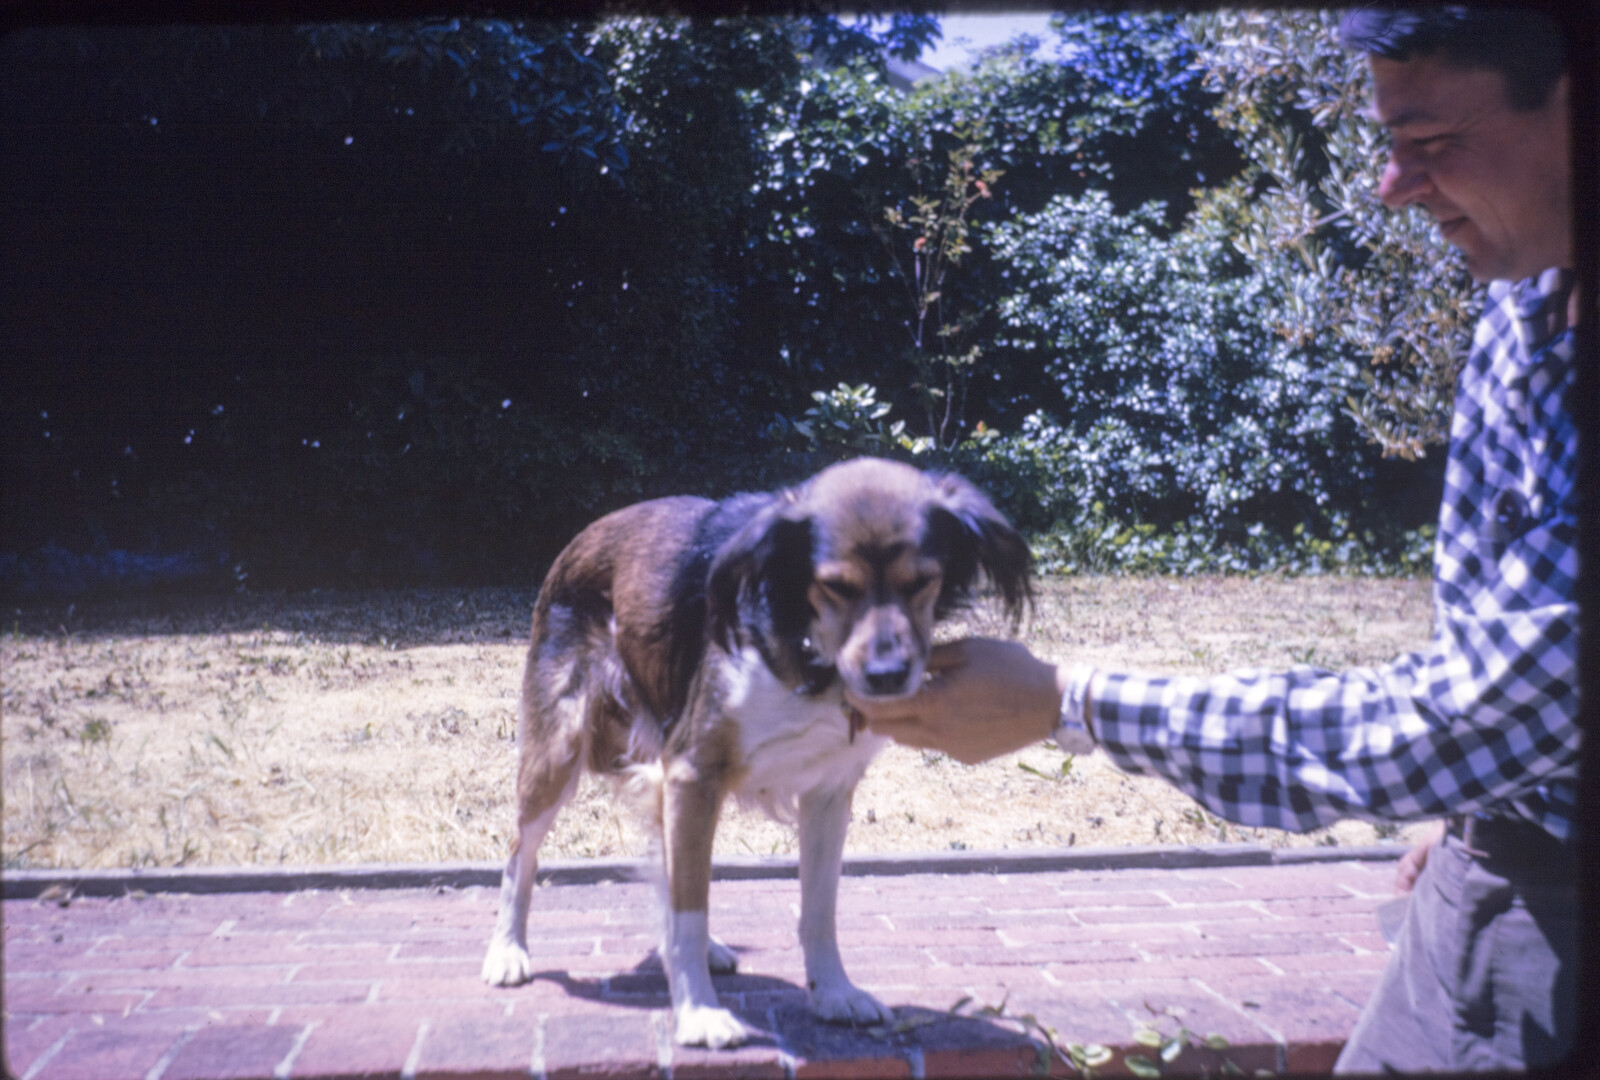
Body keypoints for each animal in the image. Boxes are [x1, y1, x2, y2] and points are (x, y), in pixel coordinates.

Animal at [480, 457, 1030, 1049]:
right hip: (557, 754)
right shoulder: (692, 773)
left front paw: (833, 992)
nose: (887, 676)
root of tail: (583, 537)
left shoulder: (826, 791)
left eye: (922, 581)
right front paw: (698, 1012)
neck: (808, 647)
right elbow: (690, 905)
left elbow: (818, 909)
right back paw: (507, 951)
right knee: (521, 853)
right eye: (835, 586)